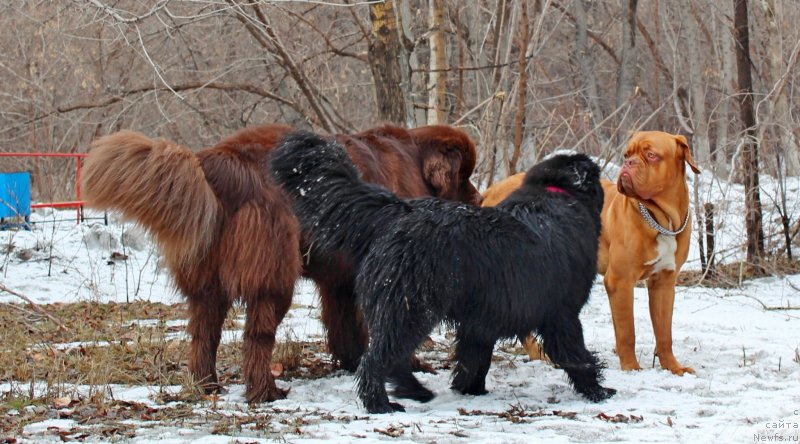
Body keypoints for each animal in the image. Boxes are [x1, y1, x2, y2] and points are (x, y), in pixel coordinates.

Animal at [272, 131, 616, 412]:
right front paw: (599, 391)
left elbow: (473, 359)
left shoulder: (481, 322)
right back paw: (381, 405)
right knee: (375, 360)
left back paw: (416, 392)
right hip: (410, 309)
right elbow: (577, 354)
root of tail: (397, 212)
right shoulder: (562, 315)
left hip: (404, 309)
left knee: (392, 360)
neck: (557, 193)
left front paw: (469, 390)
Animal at [482, 131, 700, 374]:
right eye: (627, 154)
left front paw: (673, 367)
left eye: (652, 155)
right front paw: (631, 368)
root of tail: (491, 189)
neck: (662, 219)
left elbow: (664, 332)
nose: (628, 164)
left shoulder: (664, 282)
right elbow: (627, 332)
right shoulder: (620, 281)